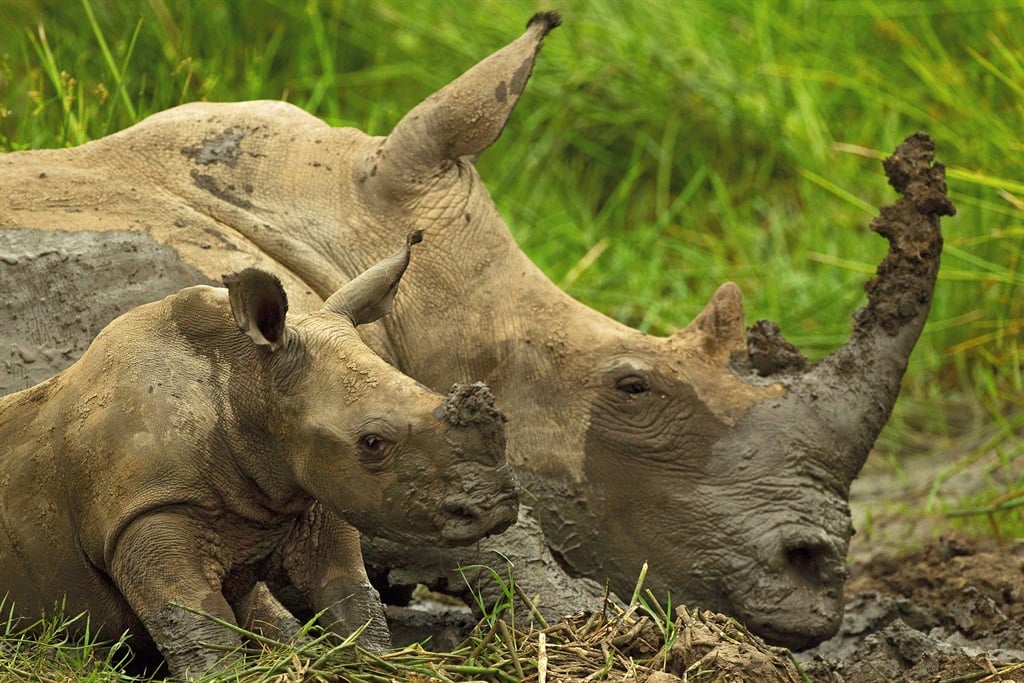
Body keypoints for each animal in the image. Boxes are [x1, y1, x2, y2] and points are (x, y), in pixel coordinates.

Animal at [0, 236, 516, 679]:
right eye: (373, 442)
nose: (499, 505)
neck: (245, 385)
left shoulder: (310, 487)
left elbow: (351, 597)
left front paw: (372, 664)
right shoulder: (144, 512)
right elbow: (194, 620)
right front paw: (225, 674)